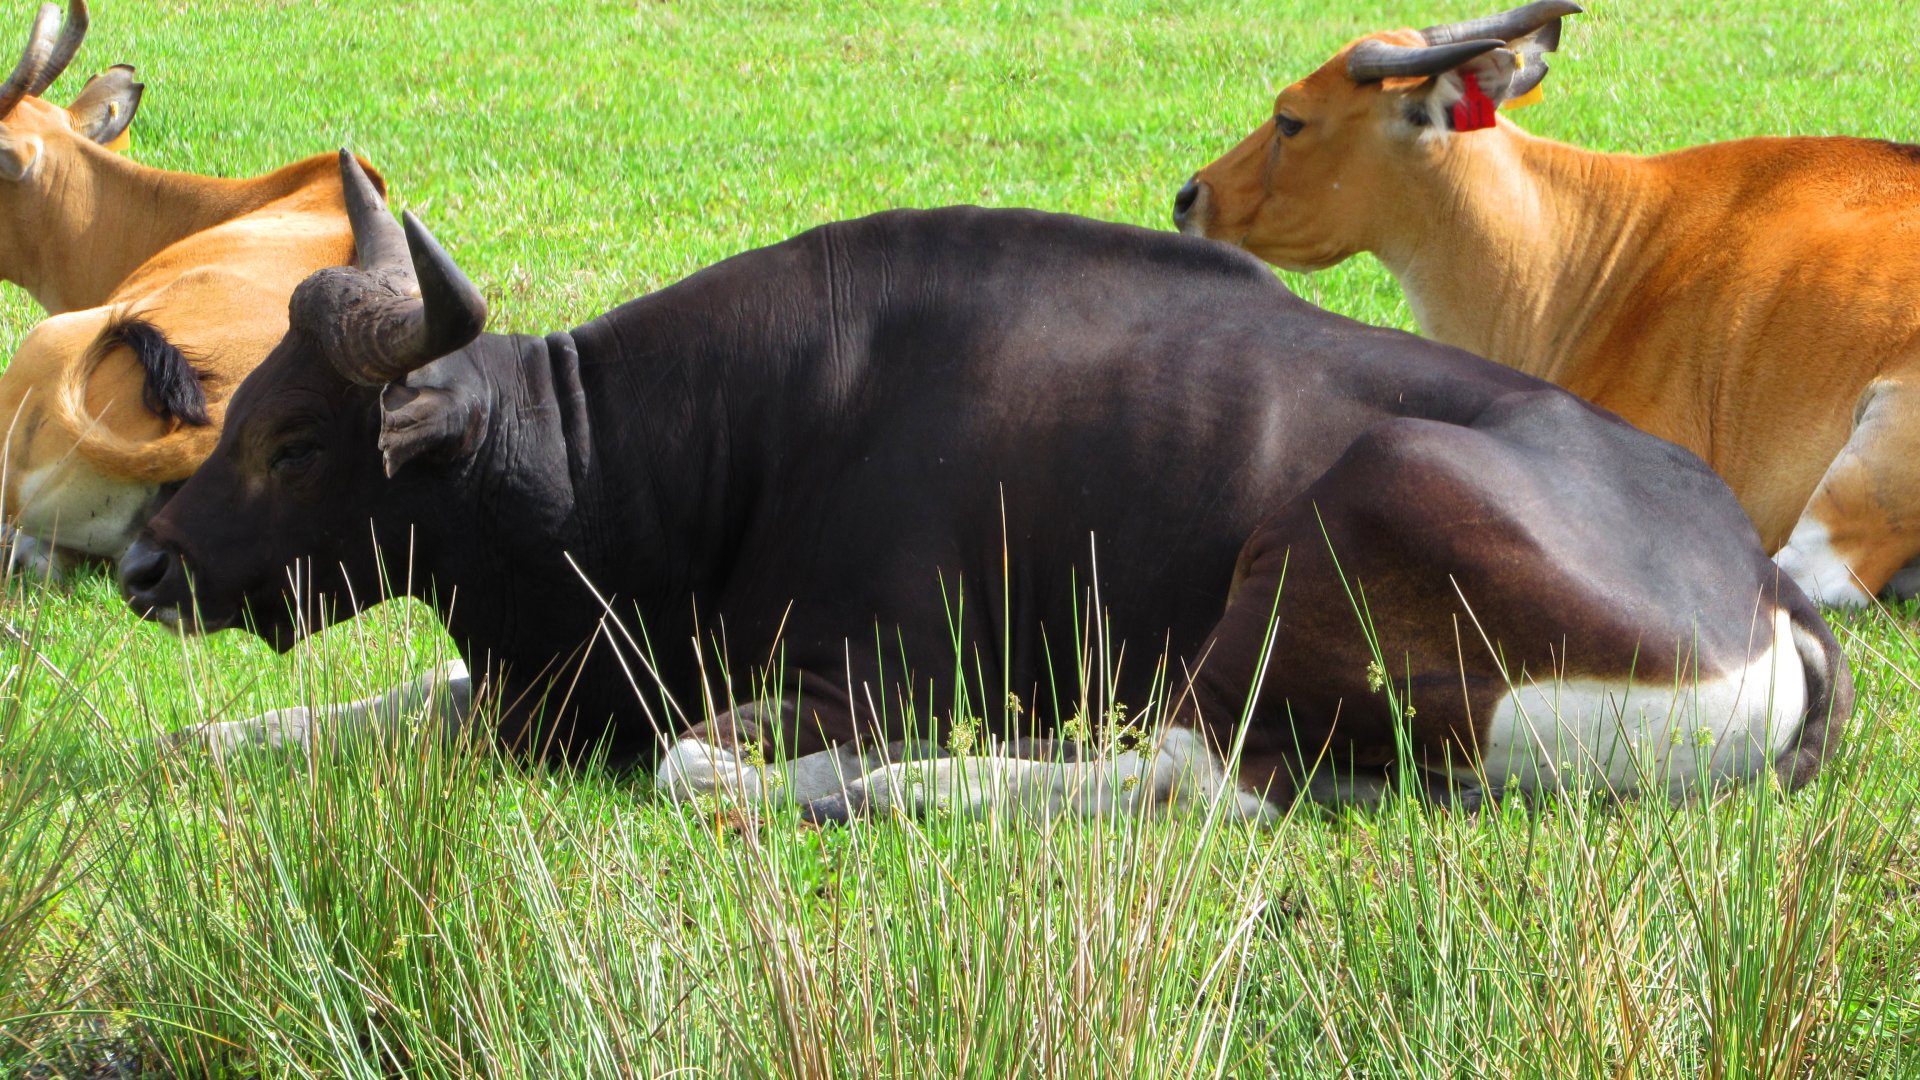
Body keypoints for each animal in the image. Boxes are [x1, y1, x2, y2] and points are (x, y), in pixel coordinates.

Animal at [120, 152, 1849, 818]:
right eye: (238, 408)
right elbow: (384, 698)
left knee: (1196, 778)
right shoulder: (550, 679)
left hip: (1340, 531)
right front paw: (207, 737)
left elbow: (685, 756)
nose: (143, 562)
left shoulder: (867, 673)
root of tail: (1759, 589)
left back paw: (908, 787)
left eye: (294, 439)